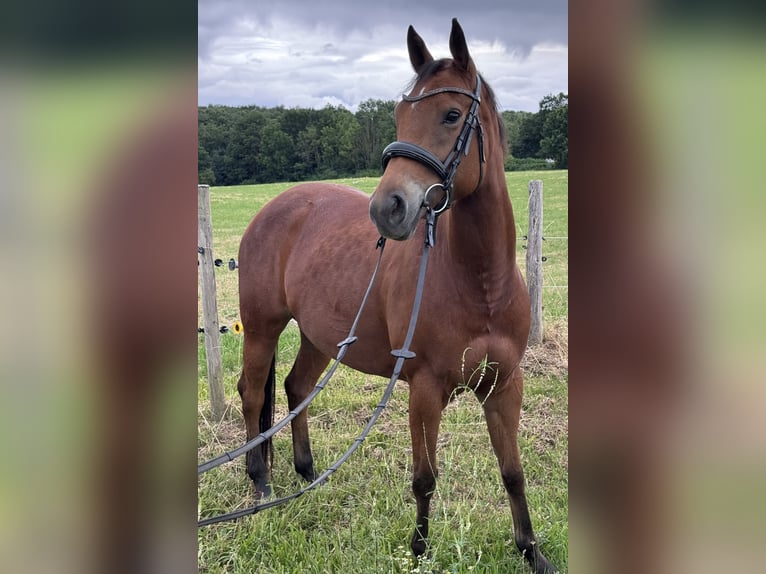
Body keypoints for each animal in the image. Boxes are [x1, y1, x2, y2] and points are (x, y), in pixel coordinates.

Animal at [236, 18, 555, 574]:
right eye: (400, 114)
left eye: (451, 115)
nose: (388, 208)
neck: (480, 283)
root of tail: (276, 207)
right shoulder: (424, 389)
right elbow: (424, 478)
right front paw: (420, 549)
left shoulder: (504, 385)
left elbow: (513, 473)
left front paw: (531, 552)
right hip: (261, 329)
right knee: (253, 395)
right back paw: (262, 485)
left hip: (319, 337)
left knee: (297, 389)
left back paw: (307, 475)